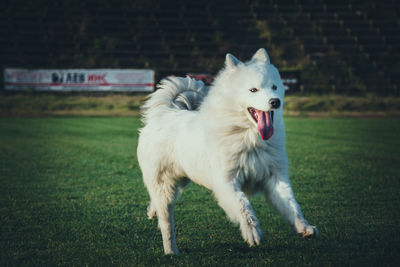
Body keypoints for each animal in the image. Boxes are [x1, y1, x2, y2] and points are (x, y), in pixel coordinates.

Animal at [138, 48, 318, 255]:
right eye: (253, 90)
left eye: (274, 87)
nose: (275, 102)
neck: (248, 136)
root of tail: (165, 113)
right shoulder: (227, 182)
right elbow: (243, 206)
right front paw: (251, 232)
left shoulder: (275, 178)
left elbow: (292, 206)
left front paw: (304, 227)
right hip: (164, 185)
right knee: (166, 222)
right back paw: (171, 250)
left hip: (181, 180)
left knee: (159, 204)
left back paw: (152, 211)